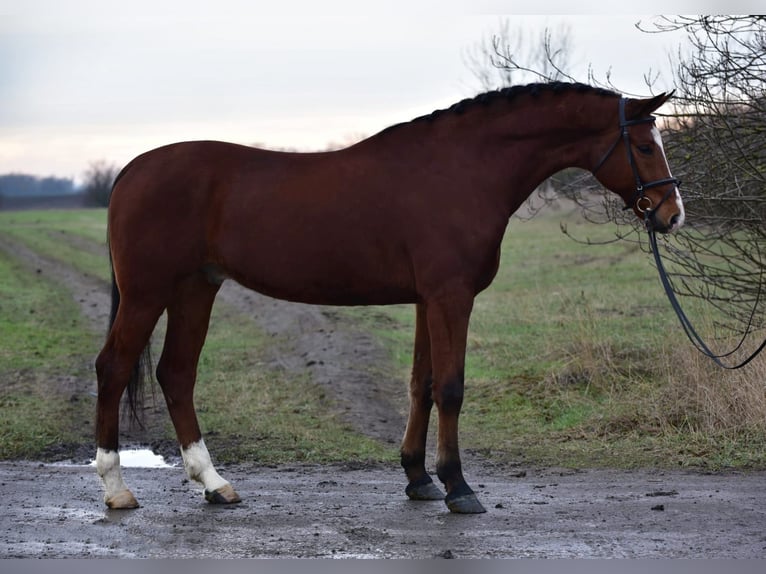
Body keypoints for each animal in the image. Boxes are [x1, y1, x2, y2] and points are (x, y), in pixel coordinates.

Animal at [95, 81, 684, 514]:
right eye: (644, 145)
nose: (672, 214)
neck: (461, 169)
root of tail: (130, 170)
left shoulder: (428, 300)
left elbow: (421, 385)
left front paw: (419, 479)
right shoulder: (450, 297)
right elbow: (451, 388)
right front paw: (459, 487)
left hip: (197, 287)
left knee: (176, 374)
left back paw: (215, 484)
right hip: (148, 293)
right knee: (115, 367)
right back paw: (117, 489)